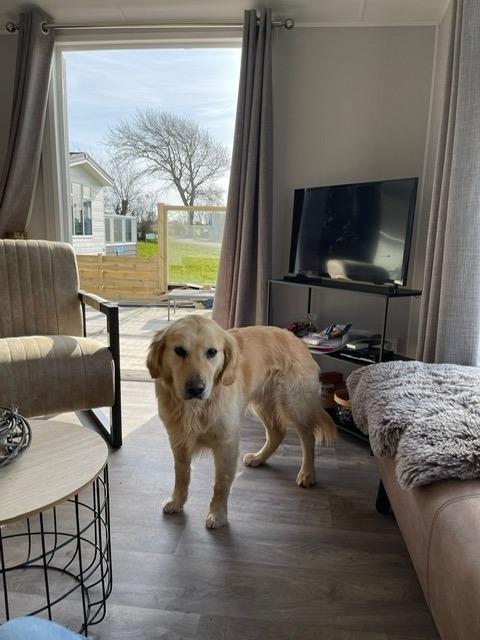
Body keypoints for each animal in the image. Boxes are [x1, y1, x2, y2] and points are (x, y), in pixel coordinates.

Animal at [147, 315, 336, 529]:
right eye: (179, 350)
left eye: (211, 352)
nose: (196, 388)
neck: (195, 408)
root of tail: (297, 338)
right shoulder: (178, 440)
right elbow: (181, 475)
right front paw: (177, 501)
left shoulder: (226, 443)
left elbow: (221, 484)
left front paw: (218, 515)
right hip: (263, 404)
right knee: (277, 433)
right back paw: (259, 458)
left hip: (294, 404)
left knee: (308, 437)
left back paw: (307, 474)